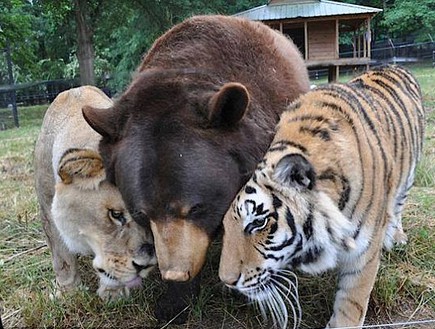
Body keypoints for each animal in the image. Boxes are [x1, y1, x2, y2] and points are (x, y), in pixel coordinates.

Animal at [34, 85, 157, 300]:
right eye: (115, 214)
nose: (146, 265)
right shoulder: (47, 207)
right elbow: (61, 257)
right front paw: (68, 292)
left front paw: (113, 293)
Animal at [220, 64, 424, 328]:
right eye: (225, 226)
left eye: (258, 222)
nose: (227, 281)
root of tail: (394, 65)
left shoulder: (364, 254)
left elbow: (351, 304)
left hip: (408, 176)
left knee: (398, 206)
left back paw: (396, 236)